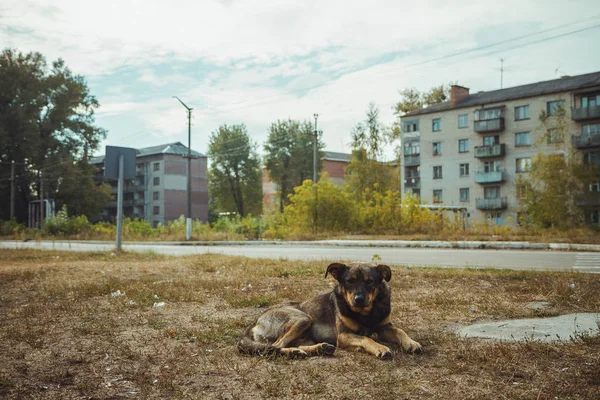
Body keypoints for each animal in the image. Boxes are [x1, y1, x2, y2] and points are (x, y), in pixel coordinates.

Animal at [236, 260, 422, 358]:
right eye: (349, 281)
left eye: (370, 281)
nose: (359, 300)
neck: (365, 313)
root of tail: (256, 320)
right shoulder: (344, 336)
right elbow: (366, 338)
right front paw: (380, 347)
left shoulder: (385, 327)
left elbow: (399, 331)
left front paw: (411, 343)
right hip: (302, 318)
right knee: (275, 346)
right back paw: (293, 352)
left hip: (305, 333)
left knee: (291, 344)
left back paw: (317, 349)